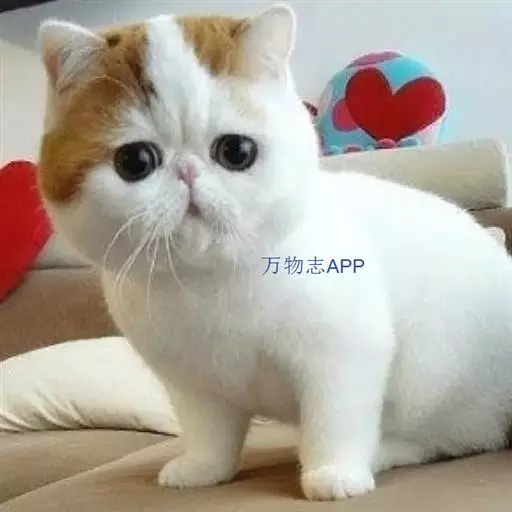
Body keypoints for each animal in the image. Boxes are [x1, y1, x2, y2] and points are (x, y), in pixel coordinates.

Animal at [37, 3, 512, 501]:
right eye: (135, 162)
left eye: (236, 151)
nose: (187, 173)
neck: (211, 281)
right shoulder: (192, 384)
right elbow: (208, 430)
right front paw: (204, 467)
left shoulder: (344, 354)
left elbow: (335, 418)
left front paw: (334, 472)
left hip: (436, 380)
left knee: (451, 438)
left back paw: (382, 452)